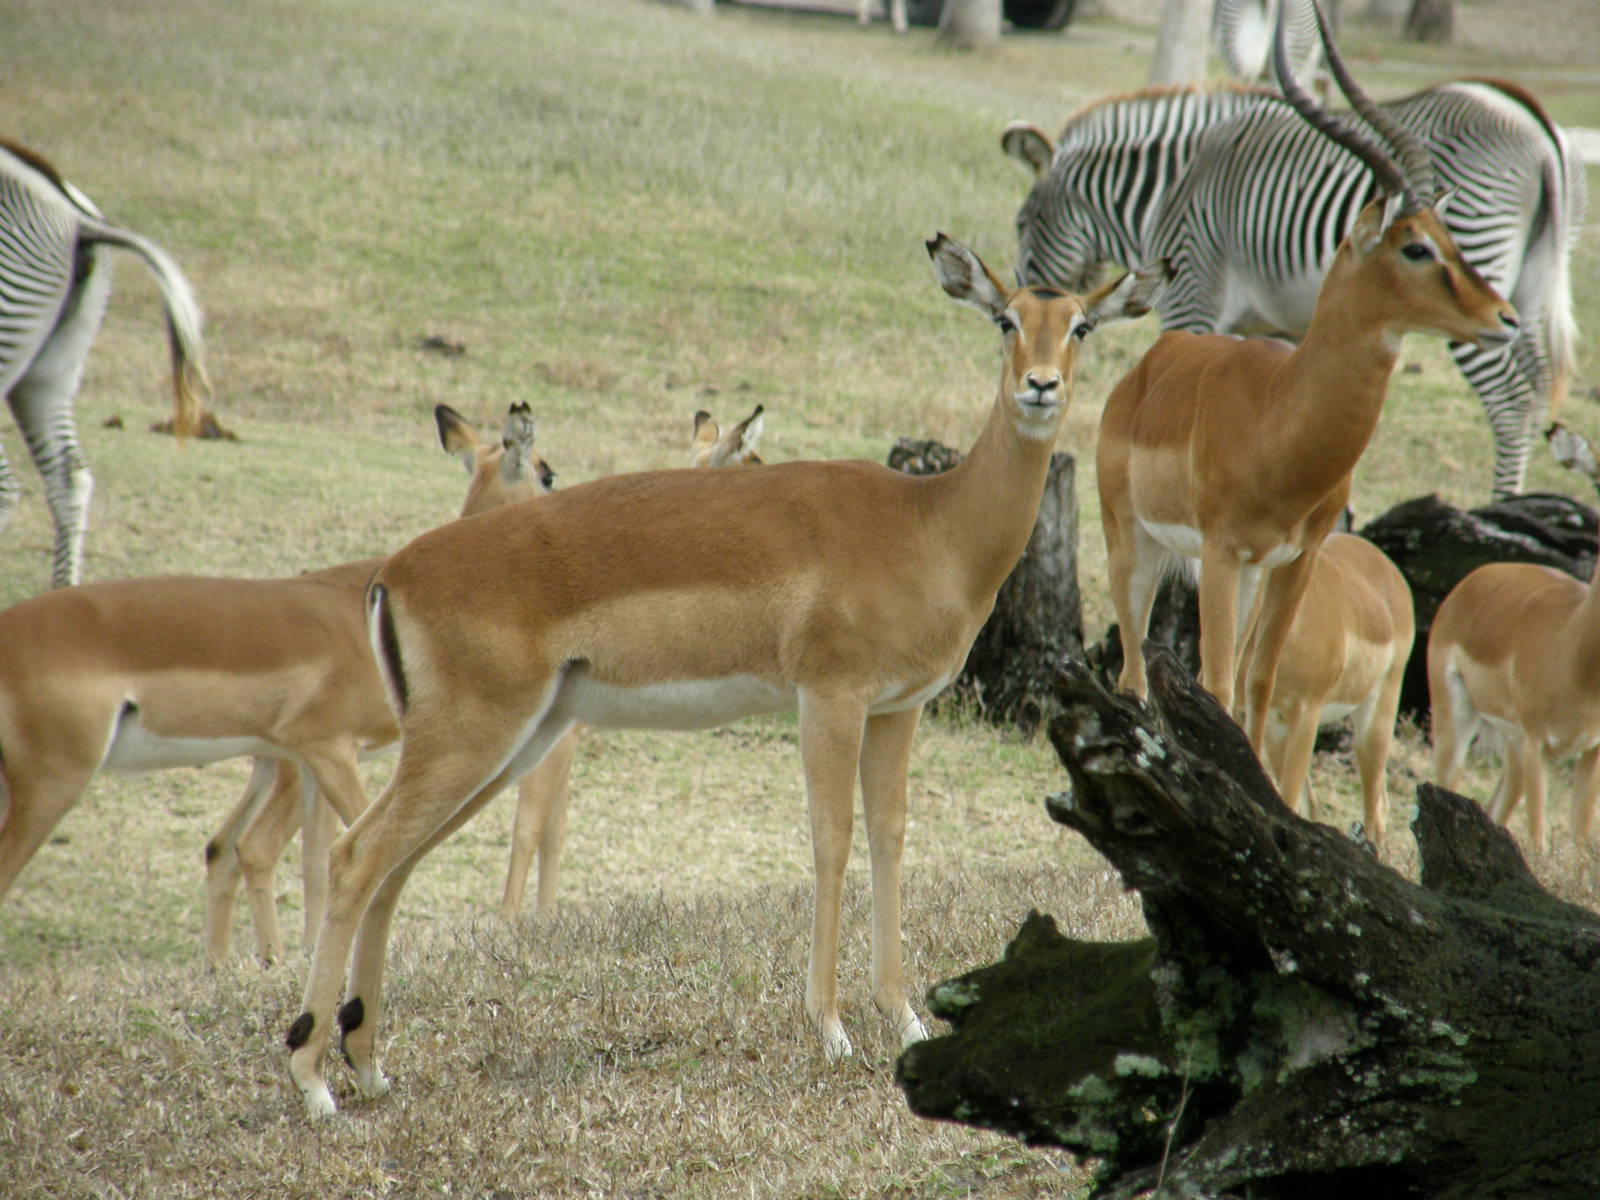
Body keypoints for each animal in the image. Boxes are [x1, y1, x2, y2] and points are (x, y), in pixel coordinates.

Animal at [280, 234, 1172, 1118]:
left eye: (1082, 325)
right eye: (1004, 319)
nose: (1041, 386)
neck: (931, 525)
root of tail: (392, 574)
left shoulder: (898, 709)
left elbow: (889, 838)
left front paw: (907, 1020)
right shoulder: (831, 698)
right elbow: (831, 840)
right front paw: (832, 1031)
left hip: (507, 746)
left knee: (391, 869)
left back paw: (370, 1068)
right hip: (473, 740)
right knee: (356, 858)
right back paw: (315, 1081)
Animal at [1097, 1, 1517, 766]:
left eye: (1450, 235)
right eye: (1415, 246)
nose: (1504, 318)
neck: (1279, 421)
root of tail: (1152, 364)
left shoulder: (1294, 558)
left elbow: (1259, 683)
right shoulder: (1221, 552)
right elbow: (1218, 683)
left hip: (1241, 571)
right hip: (1133, 542)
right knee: (1133, 669)